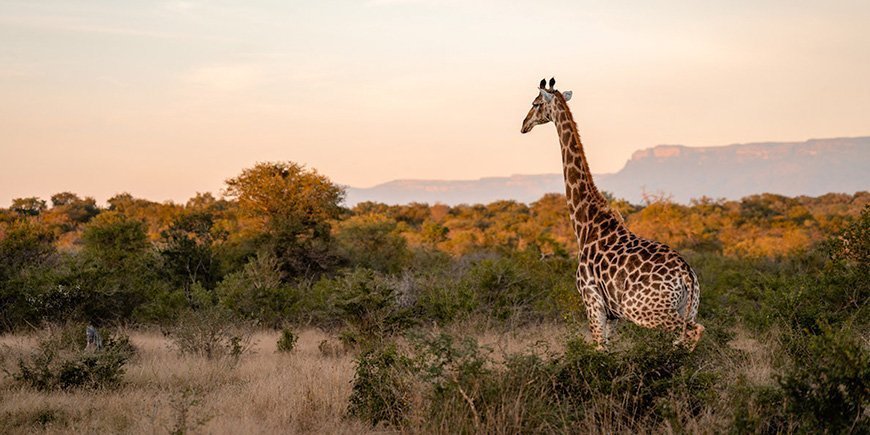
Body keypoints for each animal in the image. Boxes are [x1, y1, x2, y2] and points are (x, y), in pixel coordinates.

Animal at [520, 77, 704, 350]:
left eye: (535, 103)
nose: (524, 124)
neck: (586, 223)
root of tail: (686, 275)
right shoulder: (612, 316)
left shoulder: (592, 302)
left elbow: (599, 349)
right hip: (690, 306)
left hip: (645, 311)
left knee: (692, 332)